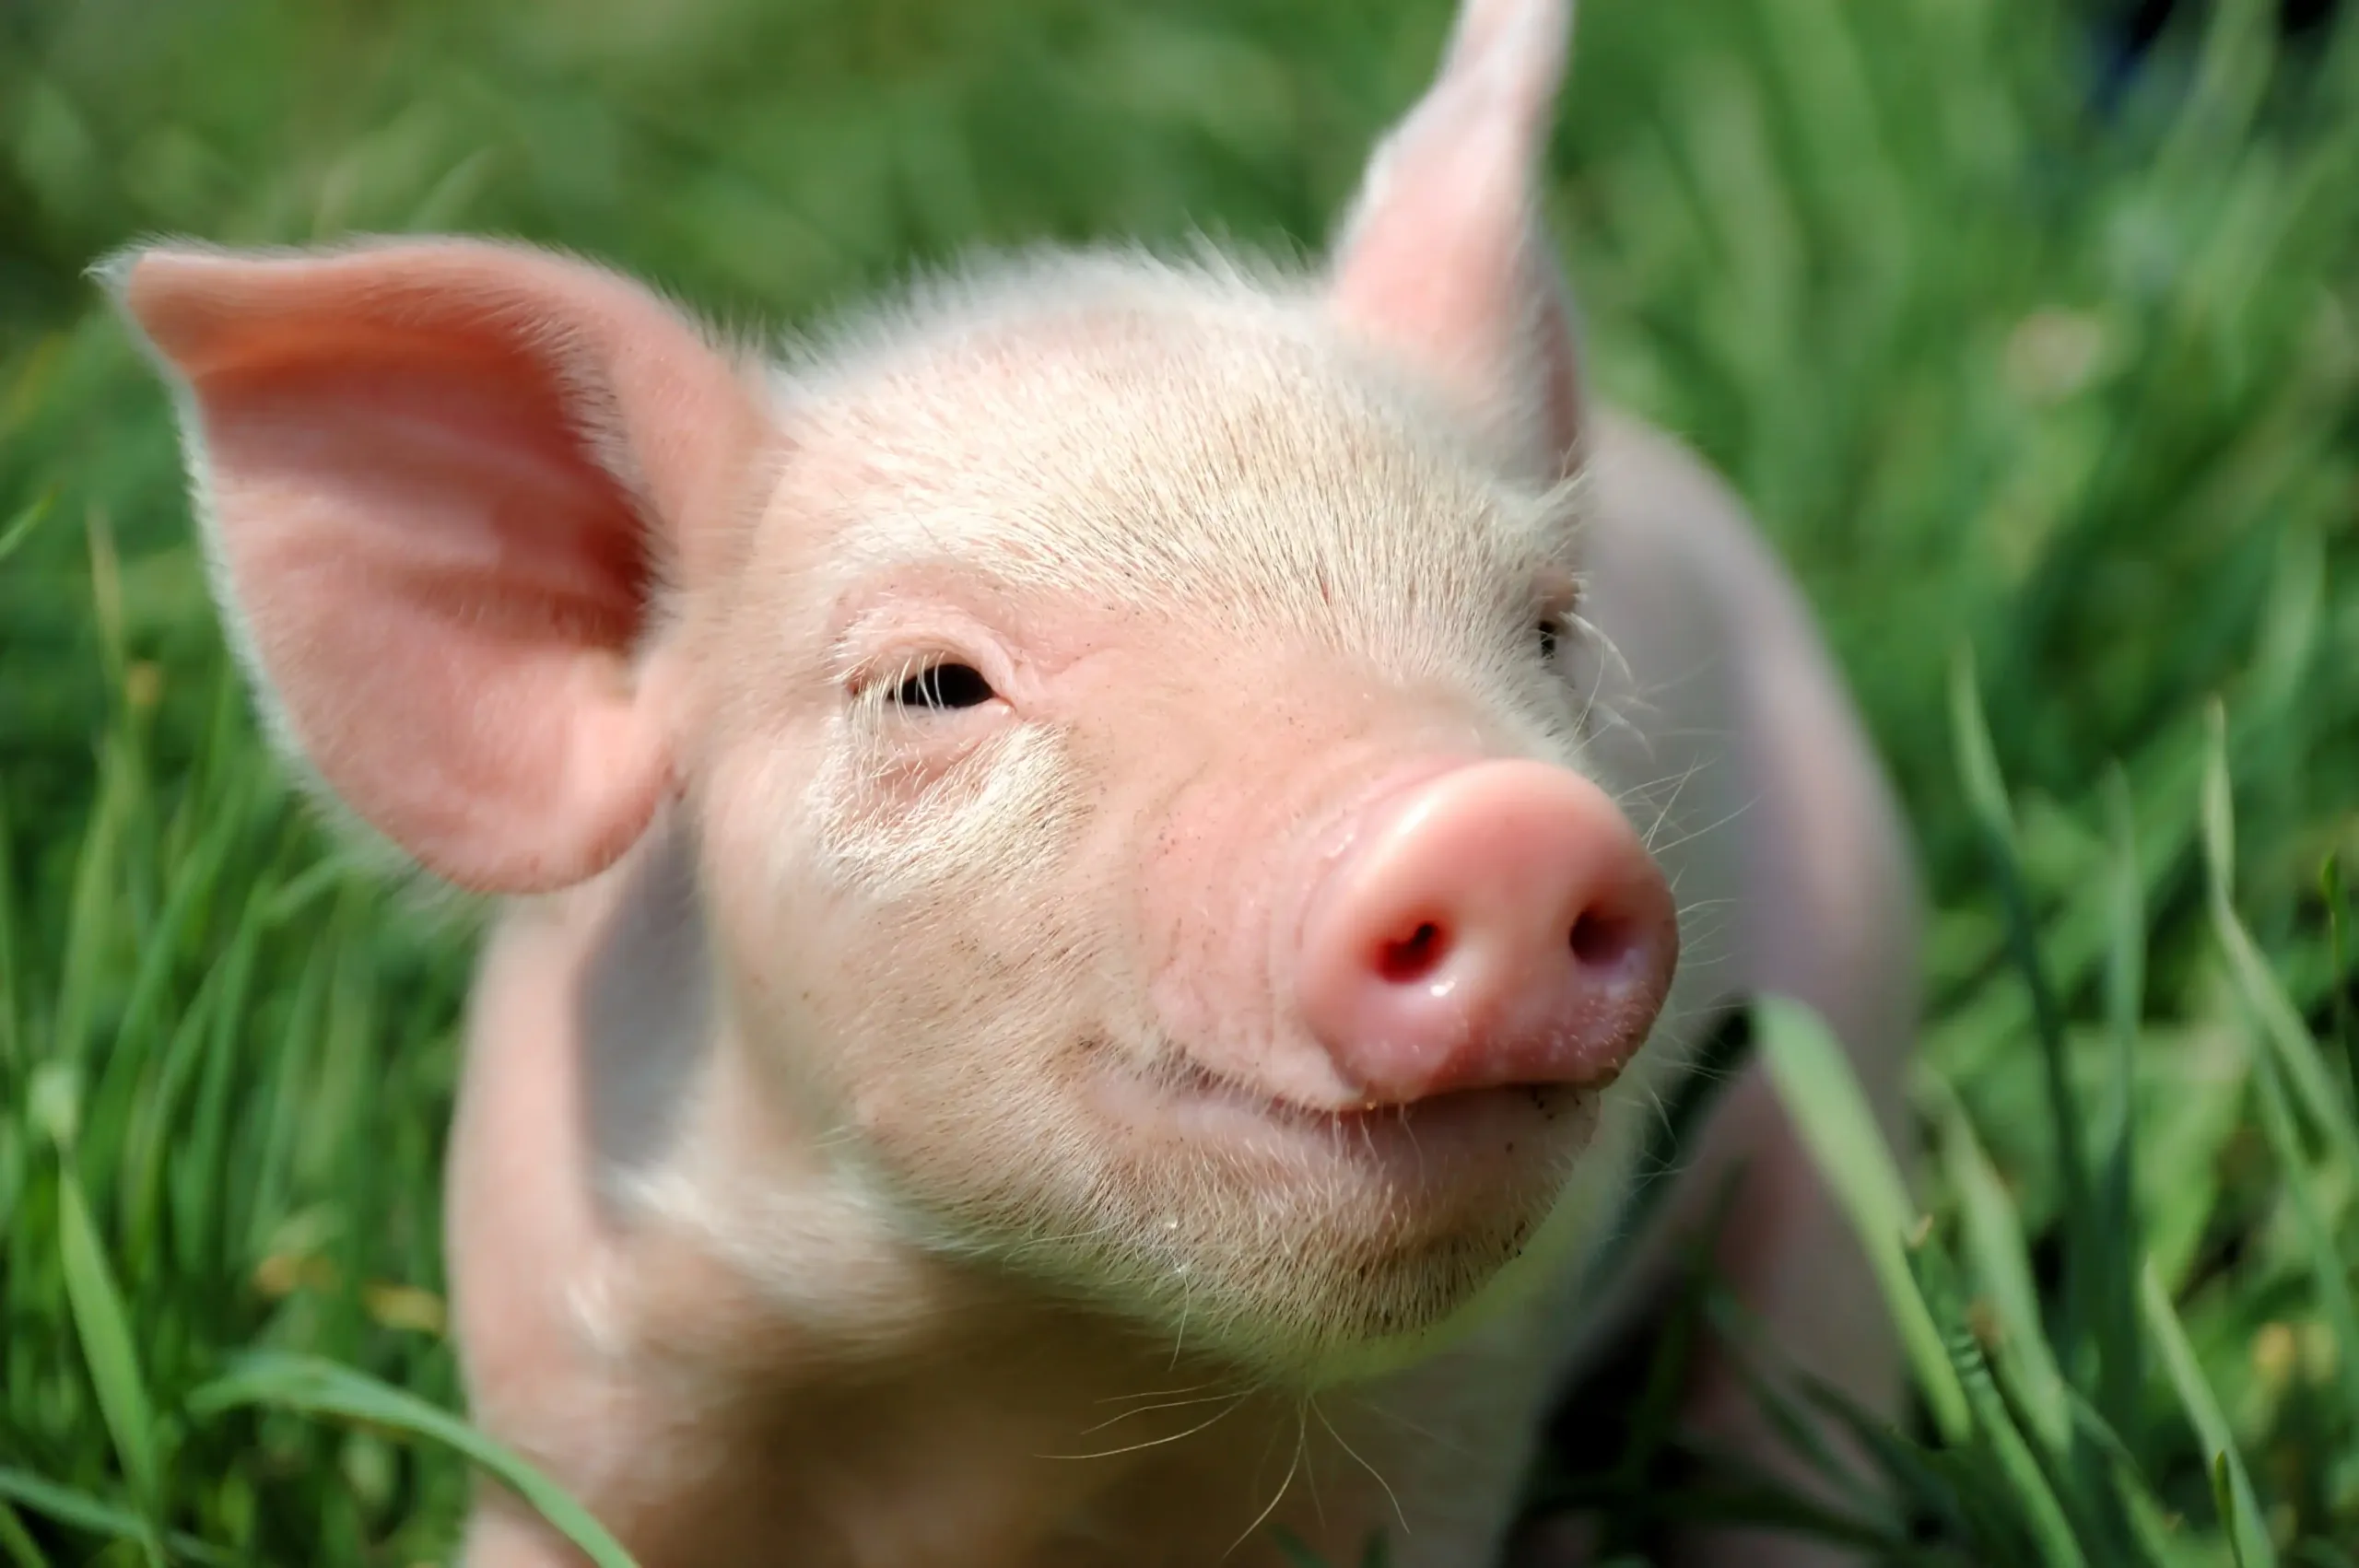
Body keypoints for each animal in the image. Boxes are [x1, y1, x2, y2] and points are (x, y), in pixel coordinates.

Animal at [102, 0, 1919, 1563]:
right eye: (935, 684)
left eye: (1544, 630)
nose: (1501, 826)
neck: (1014, 1358)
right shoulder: (562, 1367)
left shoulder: (1449, 1421)